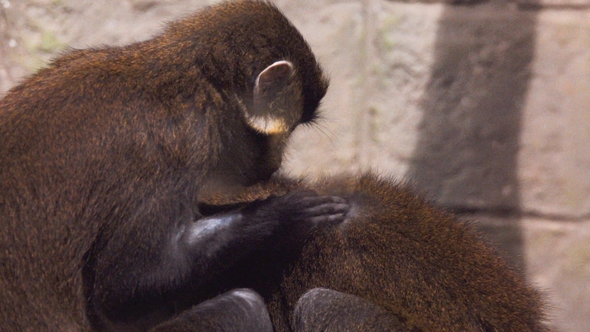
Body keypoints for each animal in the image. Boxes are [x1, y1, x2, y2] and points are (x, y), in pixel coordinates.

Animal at [0, 1, 352, 330]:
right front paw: (284, 214)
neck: (193, 81)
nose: (278, 160)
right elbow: (124, 287)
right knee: (242, 306)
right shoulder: (178, 144)